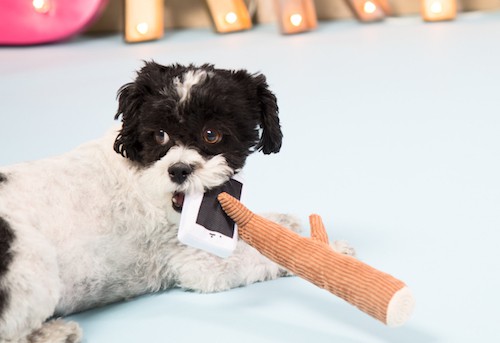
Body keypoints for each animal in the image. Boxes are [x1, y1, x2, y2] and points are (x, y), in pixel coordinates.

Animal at [0, 62, 354, 343]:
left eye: (212, 134)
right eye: (159, 135)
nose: (179, 169)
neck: (139, 173)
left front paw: (283, 223)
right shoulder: (197, 263)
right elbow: (262, 257)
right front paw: (328, 254)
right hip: (32, 262)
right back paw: (51, 333)